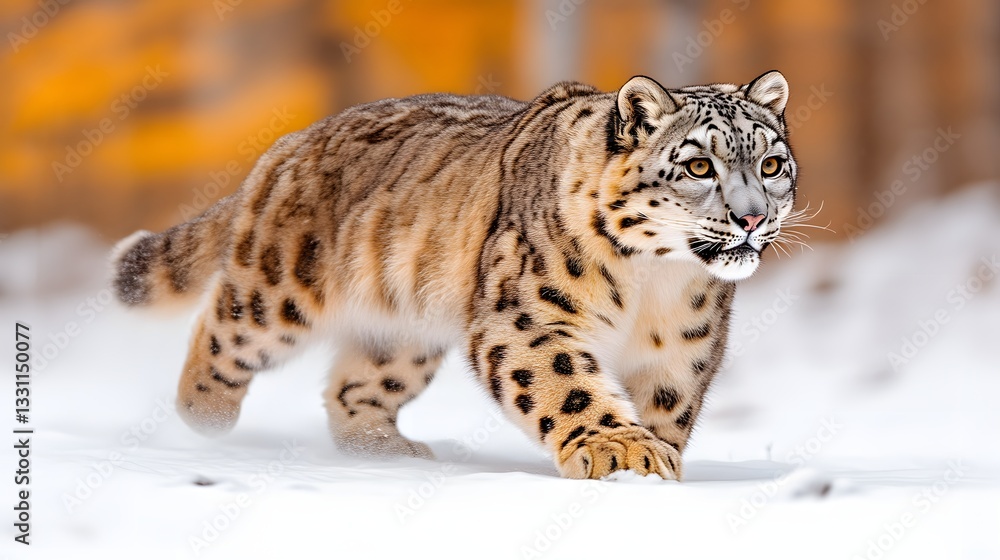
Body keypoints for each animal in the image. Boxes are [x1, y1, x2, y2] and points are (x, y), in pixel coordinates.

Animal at [111, 70, 797, 480]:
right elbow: (567, 384)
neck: (657, 285)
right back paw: (206, 417)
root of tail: (289, 143)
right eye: (699, 166)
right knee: (225, 329)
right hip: (278, 291)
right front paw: (620, 451)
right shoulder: (528, 318)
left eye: (771, 163)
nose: (752, 217)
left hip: (401, 332)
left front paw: (655, 462)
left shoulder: (684, 349)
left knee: (353, 387)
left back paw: (386, 450)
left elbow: (668, 407)